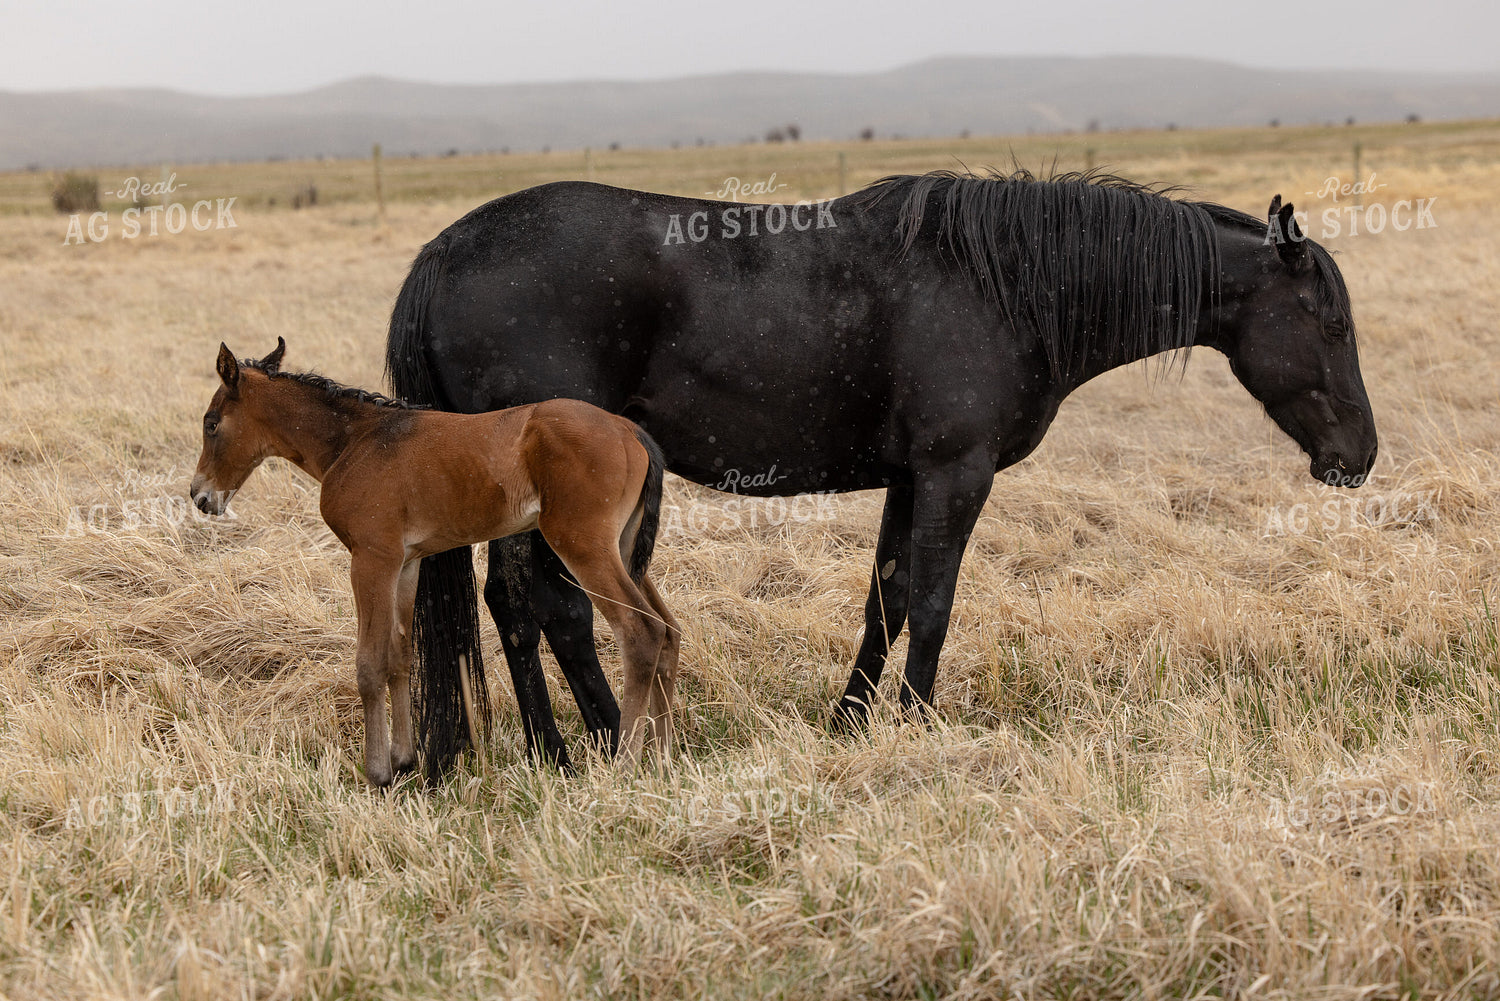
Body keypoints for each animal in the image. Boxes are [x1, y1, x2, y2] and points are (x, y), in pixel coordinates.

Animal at [189, 338, 680, 784]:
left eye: (211, 424)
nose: (200, 496)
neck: (357, 440)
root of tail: (630, 431)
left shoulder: (371, 559)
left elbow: (369, 663)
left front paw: (378, 773)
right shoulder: (406, 564)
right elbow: (400, 655)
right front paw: (405, 761)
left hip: (583, 544)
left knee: (642, 631)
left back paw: (626, 765)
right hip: (623, 549)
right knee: (668, 630)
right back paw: (664, 758)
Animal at [385, 167, 1379, 774]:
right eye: (1330, 323)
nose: (1359, 457)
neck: (1005, 287)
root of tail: (441, 254)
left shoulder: (911, 477)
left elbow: (889, 596)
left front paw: (851, 720)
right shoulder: (955, 472)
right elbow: (934, 602)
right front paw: (919, 722)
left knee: (523, 605)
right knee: (541, 604)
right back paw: (584, 742)